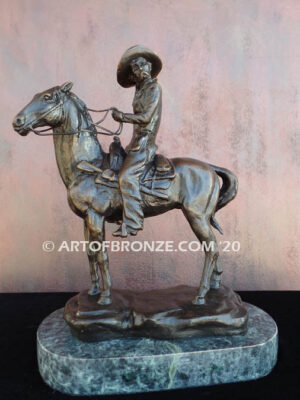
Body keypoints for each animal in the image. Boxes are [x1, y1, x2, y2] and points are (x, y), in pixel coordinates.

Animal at [11, 82, 238, 306]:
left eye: (47, 97)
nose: (17, 121)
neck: (85, 166)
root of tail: (210, 167)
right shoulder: (85, 219)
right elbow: (90, 253)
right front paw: (93, 291)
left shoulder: (96, 216)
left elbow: (102, 256)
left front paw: (105, 296)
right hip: (203, 217)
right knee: (213, 249)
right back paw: (214, 286)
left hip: (195, 216)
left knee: (211, 248)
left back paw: (200, 295)